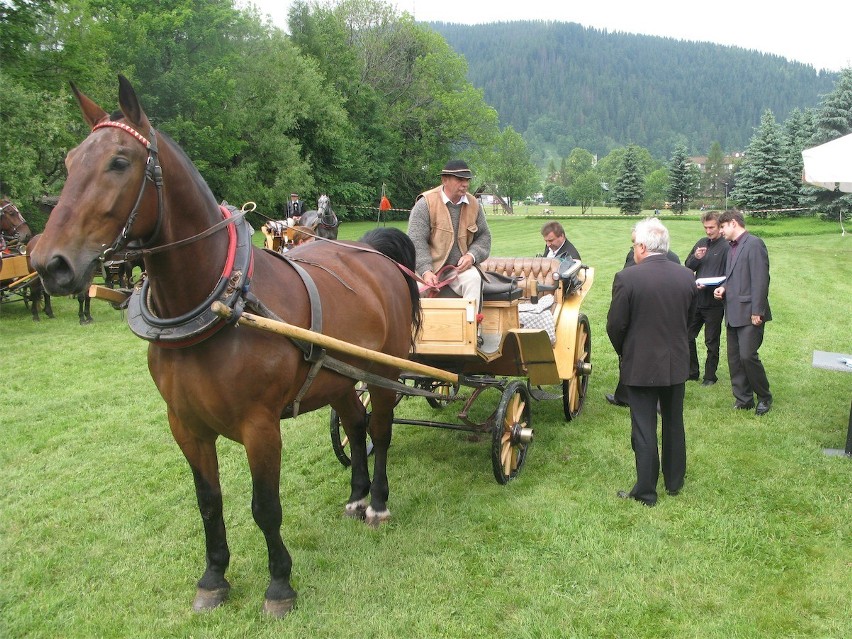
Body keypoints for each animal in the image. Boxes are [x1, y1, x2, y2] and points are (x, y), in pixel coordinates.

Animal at [30, 76, 422, 620]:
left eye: (119, 162)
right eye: (70, 162)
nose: (49, 264)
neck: (218, 303)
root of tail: (373, 252)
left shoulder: (260, 427)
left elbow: (265, 507)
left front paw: (279, 585)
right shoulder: (185, 425)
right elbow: (208, 501)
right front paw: (214, 577)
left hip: (385, 372)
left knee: (380, 431)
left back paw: (379, 503)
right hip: (339, 377)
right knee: (355, 423)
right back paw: (357, 496)